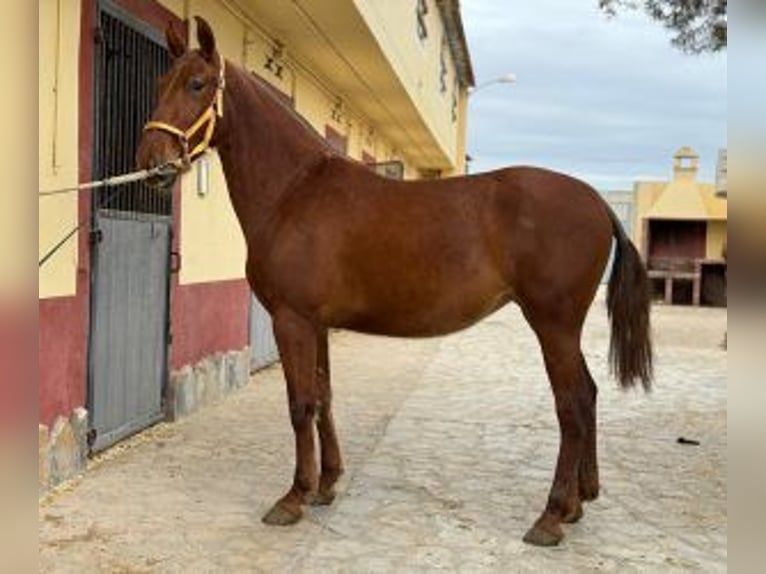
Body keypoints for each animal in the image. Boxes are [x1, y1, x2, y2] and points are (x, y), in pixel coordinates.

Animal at [140, 19, 656, 548]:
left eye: (197, 84)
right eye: (161, 84)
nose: (153, 161)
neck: (295, 191)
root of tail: (596, 200)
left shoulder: (292, 320)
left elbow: (300, 404)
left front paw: (294, 496)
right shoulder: (317, 324)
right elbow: (324, 397)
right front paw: (327, 484)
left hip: (553, 324)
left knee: (572, 406)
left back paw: (550, 516)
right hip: (563, 329)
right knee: (588, 397)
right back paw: (576, 504)